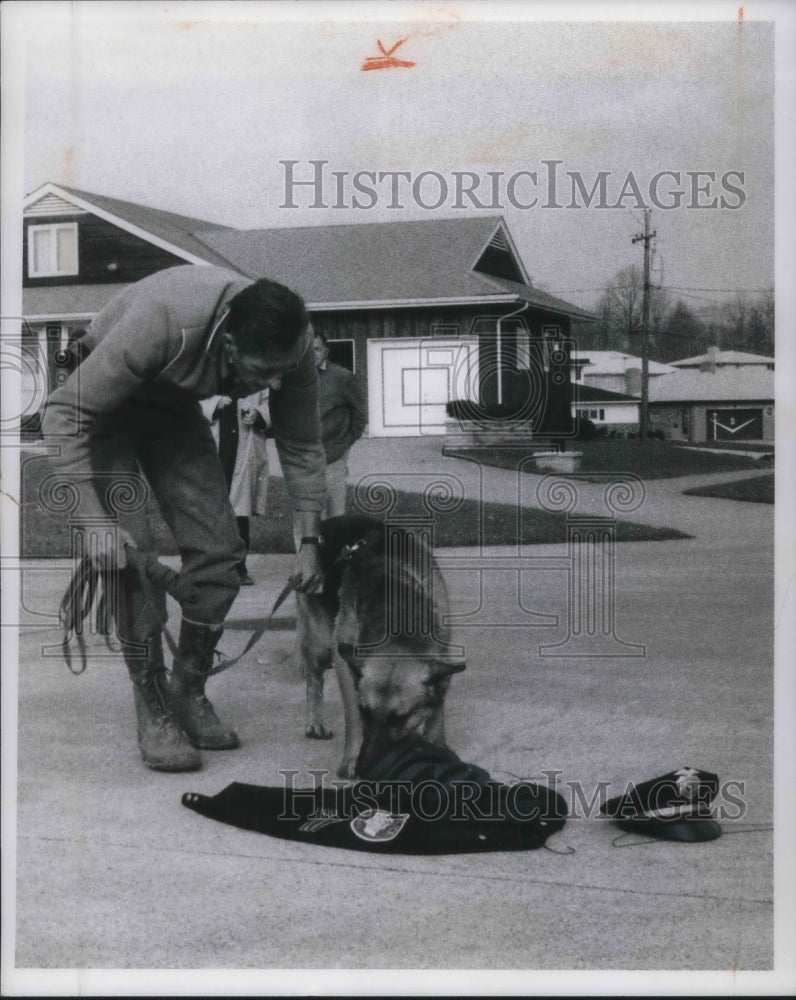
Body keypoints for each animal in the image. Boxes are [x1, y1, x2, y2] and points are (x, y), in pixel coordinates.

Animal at [296, 516, 464, 780]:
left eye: (400, 718)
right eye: (366, 711)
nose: (365, 770)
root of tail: (325, 523)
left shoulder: (442, 662)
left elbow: (437, 714)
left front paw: (438, 745)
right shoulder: (346, 667)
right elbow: (352, 718)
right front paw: (351, 759)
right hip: (320, 644)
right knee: (313, 677)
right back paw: (315, 721)